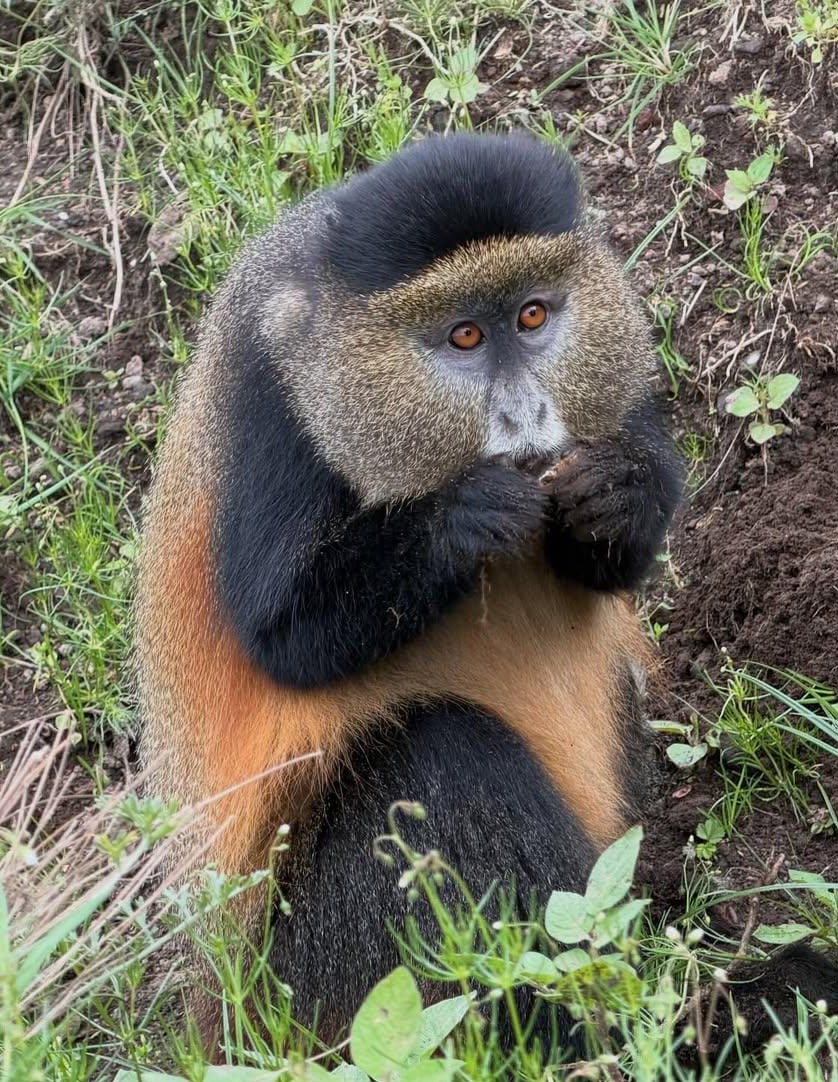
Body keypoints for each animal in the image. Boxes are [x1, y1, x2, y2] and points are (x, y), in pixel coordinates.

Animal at [135, 132, 835, 1058]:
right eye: (463, 336)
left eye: (533, 317)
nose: (525, 414)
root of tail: (232, 1014)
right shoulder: (269, 400)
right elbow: (285, 642)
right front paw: (465, 521)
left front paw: (619, 492)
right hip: (320, 977)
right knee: (443, 757)